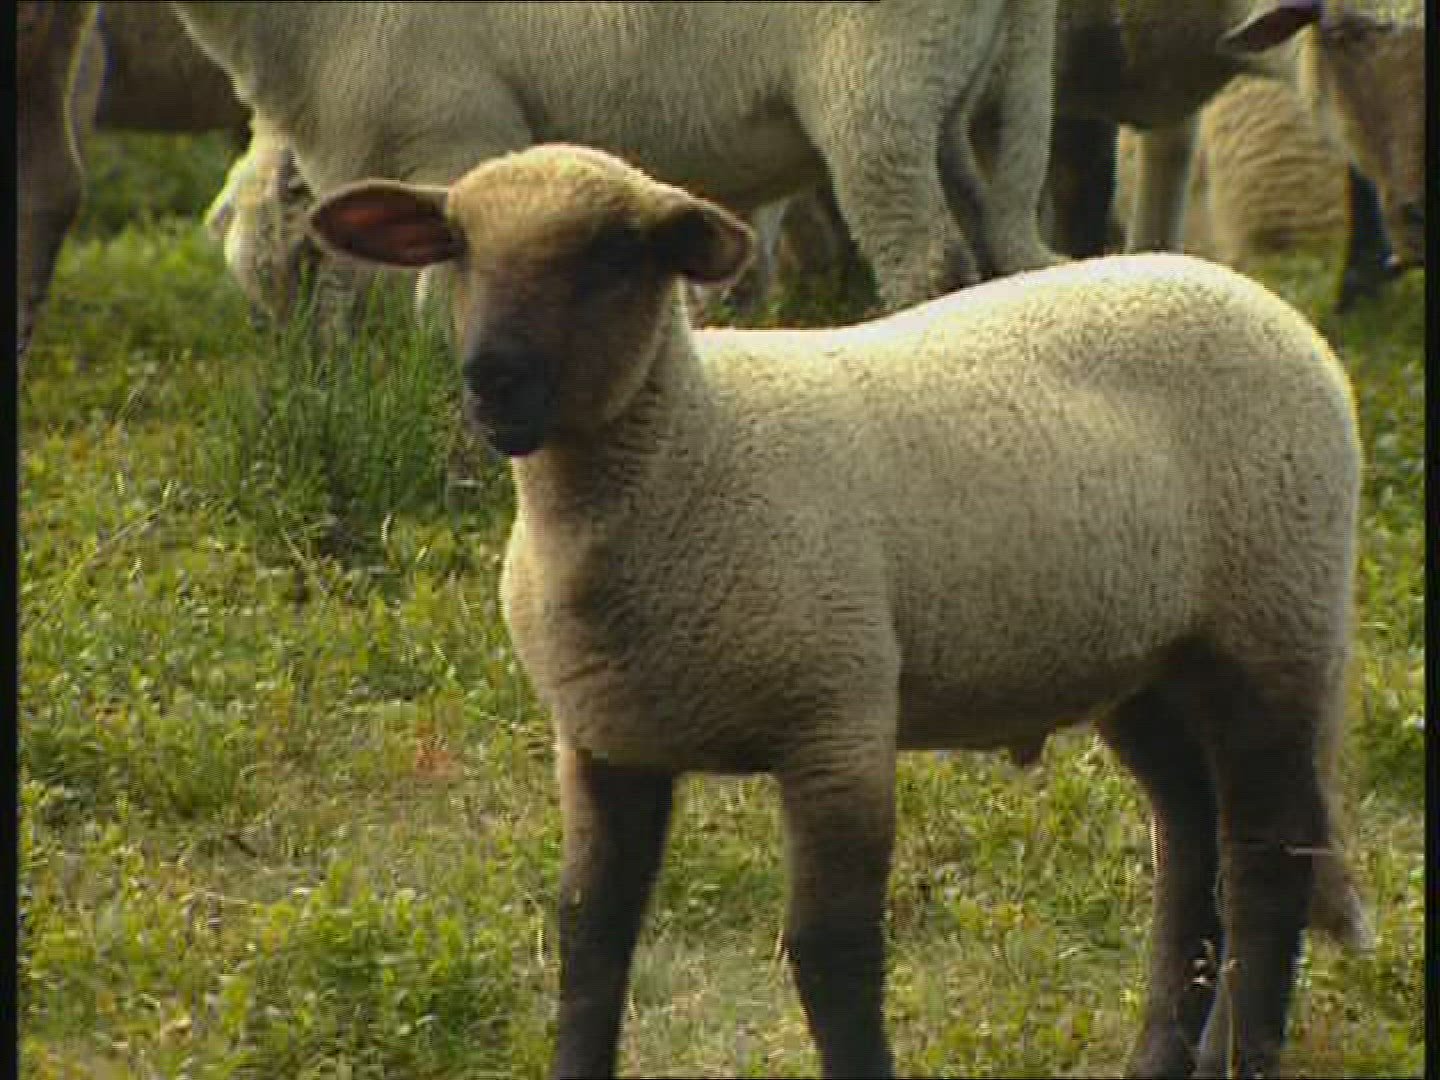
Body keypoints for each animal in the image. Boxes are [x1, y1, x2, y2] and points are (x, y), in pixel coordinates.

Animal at [307, 143, 1370, 1079]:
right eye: (457, 246)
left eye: (614, 254)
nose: (492, 381)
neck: (695, 446)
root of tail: (1265, 305)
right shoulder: (605, 739)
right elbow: (590, 939)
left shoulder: (836, 718)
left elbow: (832, 956)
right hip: (1146, 658)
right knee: (1189, 841)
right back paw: (1158, 1056)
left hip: (1273, 622)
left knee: (1268, 859)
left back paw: (1239, 1056)